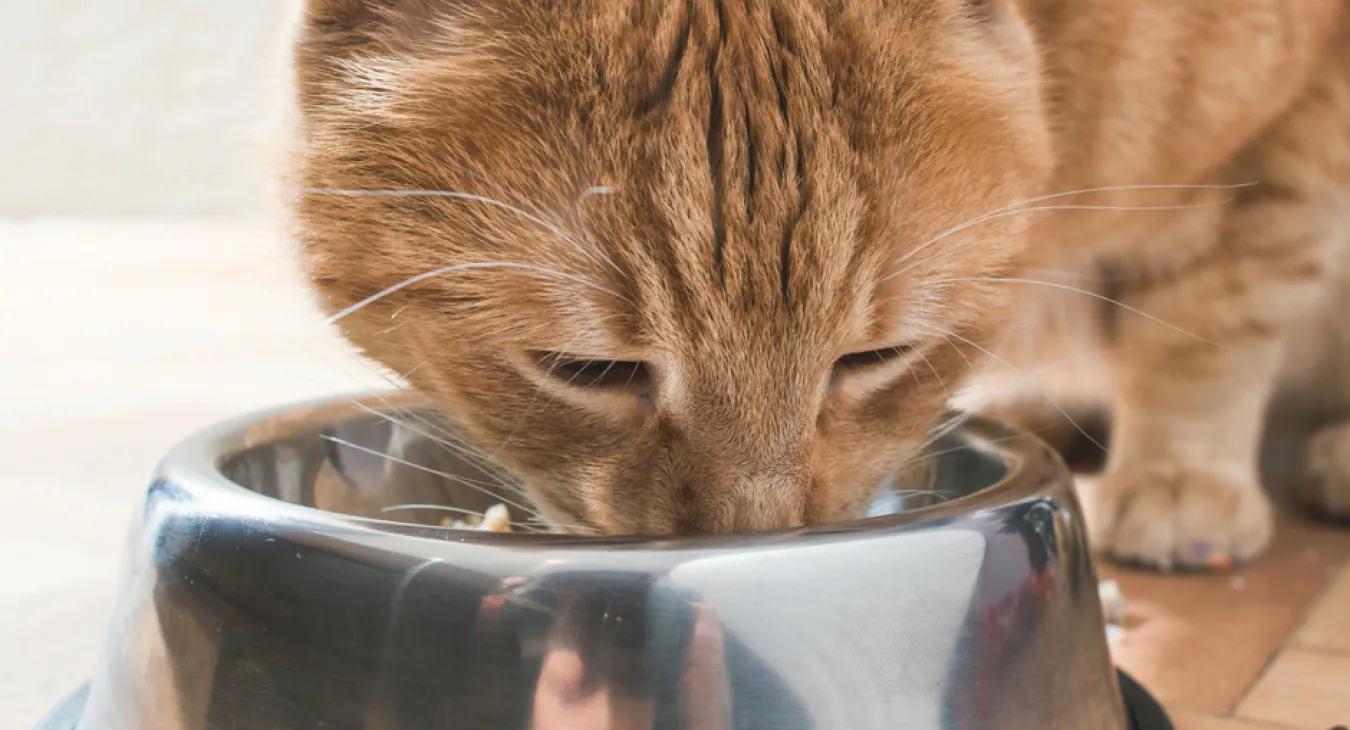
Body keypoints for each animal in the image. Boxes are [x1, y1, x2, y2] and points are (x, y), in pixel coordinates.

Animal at [287, 0, 1350, 569]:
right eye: (585, 371)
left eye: (877, 357)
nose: (746, 538)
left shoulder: (1292, 126)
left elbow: (1213, 324)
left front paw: (1181, 473)